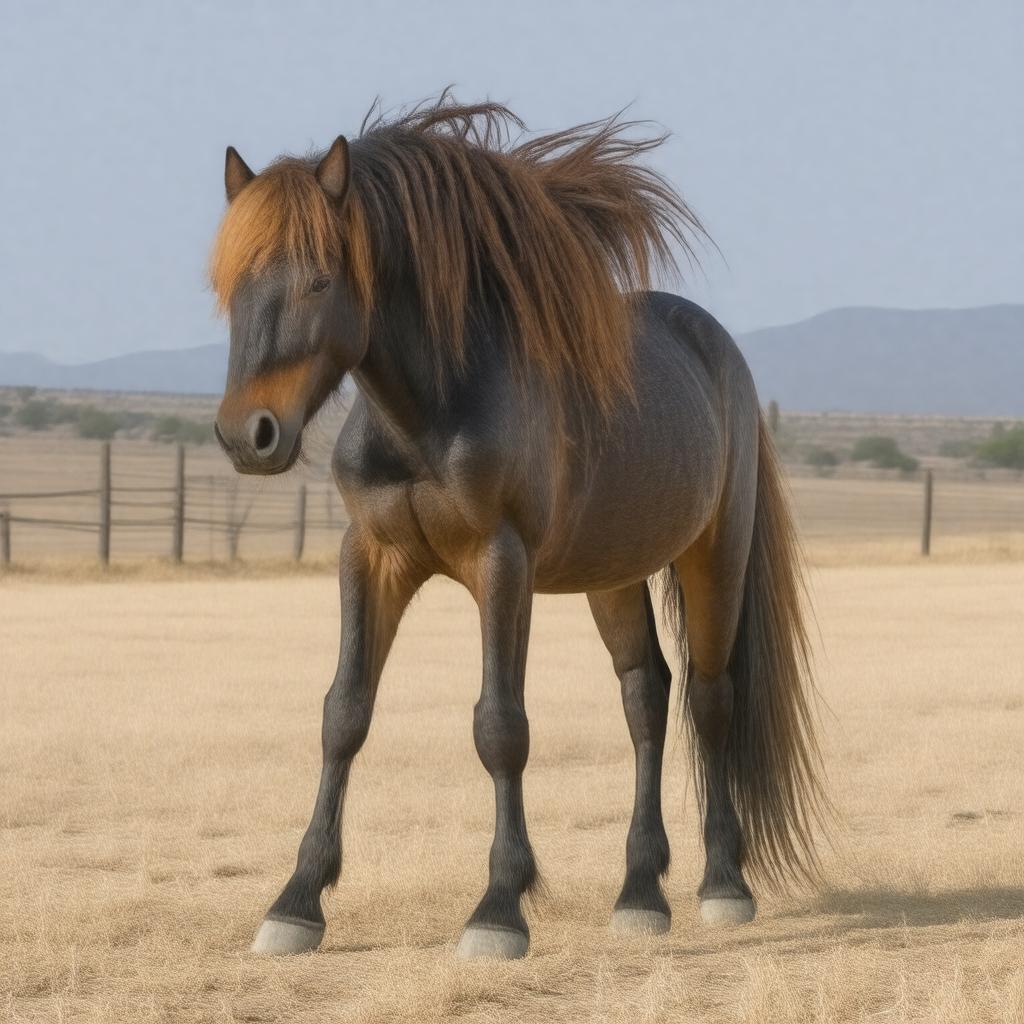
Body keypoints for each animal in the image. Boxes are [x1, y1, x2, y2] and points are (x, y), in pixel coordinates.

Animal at [209, 97, 828, 960]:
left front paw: (499, 908)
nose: (248, 435)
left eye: (321, 278)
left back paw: (721, 885)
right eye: (232, 283)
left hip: (717, 556)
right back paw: (640, 892)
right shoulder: (371, 556)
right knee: (646, 697)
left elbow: (500, 726)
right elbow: (343, 714)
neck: (426, 414)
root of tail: (716, 349)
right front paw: (296, 901)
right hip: (614, 573)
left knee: (710, 700)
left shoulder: (502, 562)